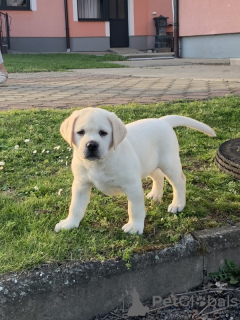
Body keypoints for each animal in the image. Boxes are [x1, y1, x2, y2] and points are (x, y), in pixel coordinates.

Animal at [54, 109, 216, 234]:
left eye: (103, 133)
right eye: (80, 132)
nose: (91, 145)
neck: (100, 162)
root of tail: (162, 121)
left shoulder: (132, 186)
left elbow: (135, 208)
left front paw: (135, 227)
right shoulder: (81, 185)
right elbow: (75, 206)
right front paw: (69, 223)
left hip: (169, 163)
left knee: (180, 181)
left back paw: (178, 204)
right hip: (148, 163)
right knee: (158, 176)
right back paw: (156, 194)